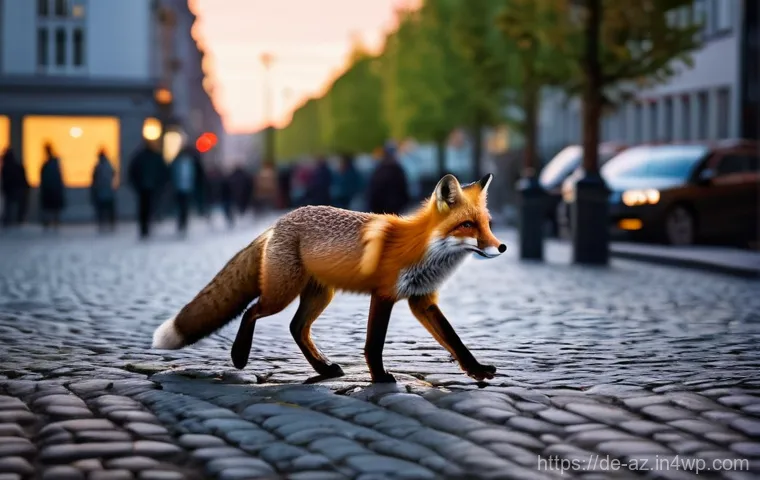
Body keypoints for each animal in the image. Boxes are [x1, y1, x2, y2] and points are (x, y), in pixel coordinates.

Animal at [152, 173, 507, 383]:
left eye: (487, 223)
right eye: (467, 226)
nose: (502, 247)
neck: (423, 249)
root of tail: (278, 222)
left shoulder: (421, 300)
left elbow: (455, 341)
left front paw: (476, 371)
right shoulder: (385, 294)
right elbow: (374, 343)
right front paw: (379, 377)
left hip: (320, 295)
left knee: (296, 328)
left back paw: (323, 368)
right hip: (281, 294)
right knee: (252, 311)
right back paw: (239, 356)